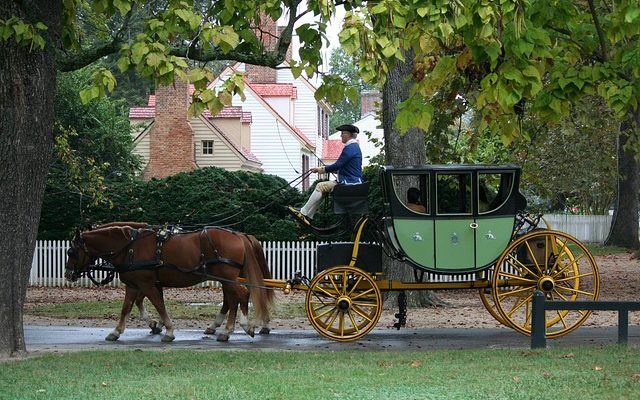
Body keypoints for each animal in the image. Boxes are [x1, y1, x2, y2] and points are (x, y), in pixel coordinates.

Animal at [65, 223, 272, 342]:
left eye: (71, 252)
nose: (68, 274)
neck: (130, 247)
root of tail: (238, 235)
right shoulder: (134, 285)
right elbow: (126, 308)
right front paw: (116, 332)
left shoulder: (147, 284)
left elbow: (158, 305)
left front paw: (168, 330)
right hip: (226, 278)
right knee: (233, 299)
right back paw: (227, 329)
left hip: (227, 277)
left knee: (241, 295)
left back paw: (237, 328)